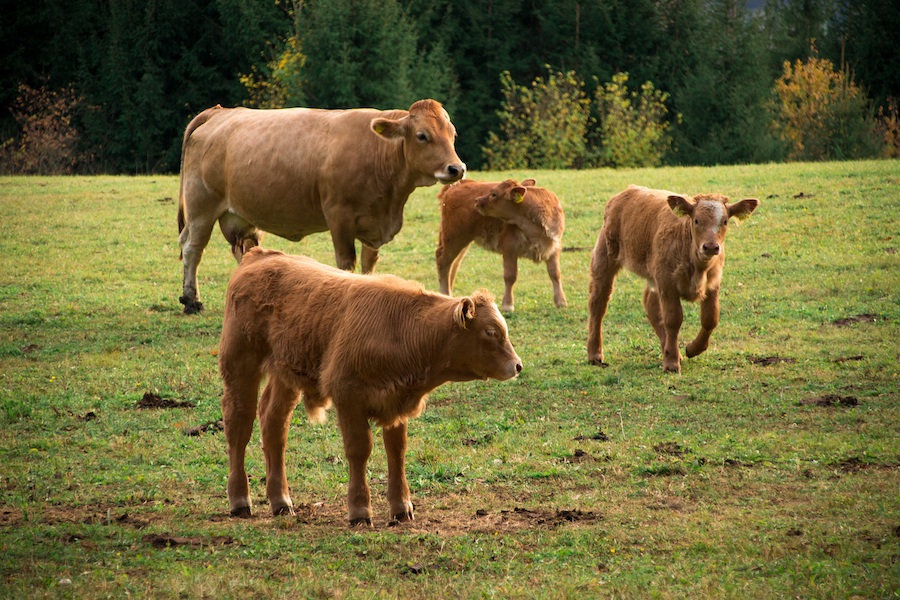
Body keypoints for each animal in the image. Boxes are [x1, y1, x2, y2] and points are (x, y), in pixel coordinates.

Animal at [179, 98, 468, 314]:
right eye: (422, 136)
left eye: (452, 134)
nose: (457, 168)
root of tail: (220, 112)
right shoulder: (339, 217)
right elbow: (346, 263)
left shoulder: (374, 224)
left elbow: (369, 264)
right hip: (201, 207)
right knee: (193, 248)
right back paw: (191, 301)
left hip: (240, 216)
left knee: (241, 250)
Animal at [218, 248, 524, 524]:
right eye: (491, 332)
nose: (517, 365)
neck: (403, 328)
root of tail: (259, 255)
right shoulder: (348, 397)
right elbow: (359, 450)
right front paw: (359, 510)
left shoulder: (397, 400)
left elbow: (396, 451)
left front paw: (401, 508)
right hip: (240, 365)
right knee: (239, 426)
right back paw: (240, 500)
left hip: (285, 374)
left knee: (274, 426)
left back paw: (281, 501)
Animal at [434, 178, 568, 312]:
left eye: (494, 194)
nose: (477, 200)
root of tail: (458, 184)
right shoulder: (509, 247)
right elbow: (510, 275)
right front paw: (507, 305)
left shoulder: (554, 247)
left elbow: (555, 273)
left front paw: (561, 301)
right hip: (453, 237)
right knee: (443, 261)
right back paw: (445, 293)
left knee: (454, 263)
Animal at [584, 185, 760, 372]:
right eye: (696, 220)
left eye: (725, 221)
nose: (711, 247)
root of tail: (627, 192)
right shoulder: (667, 284)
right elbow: (673, 319)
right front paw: (671, 363)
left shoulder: (713, 283)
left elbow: (710, 318)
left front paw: (692, 349)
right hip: (604, 258)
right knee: (598, 303)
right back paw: (595, 354)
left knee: (650, 304)